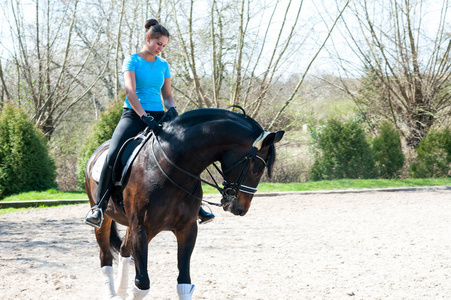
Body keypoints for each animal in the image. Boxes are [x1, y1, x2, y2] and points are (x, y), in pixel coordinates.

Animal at [84, 108, 282, 300]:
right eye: (256, 170)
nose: (241, 208)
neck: (172, 169)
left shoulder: (187, 229)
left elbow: (184, 282)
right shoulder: (141, 228)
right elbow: (142, 285)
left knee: (125, 249)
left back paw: (120, 291)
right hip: (107, 219)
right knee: (105, 256)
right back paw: (112, 292)